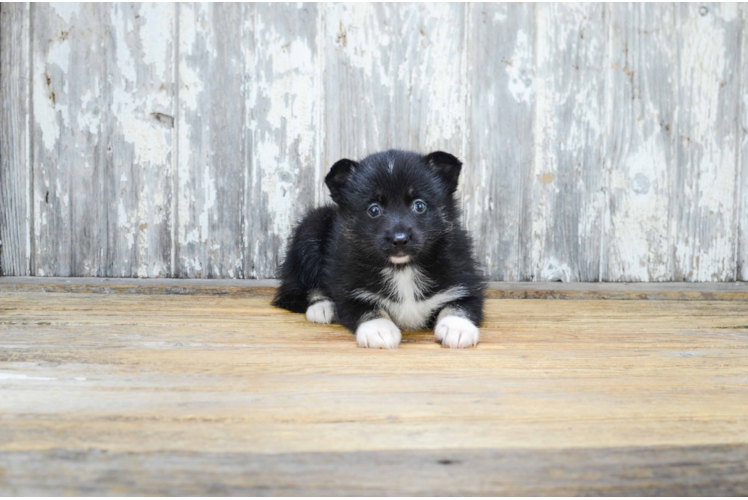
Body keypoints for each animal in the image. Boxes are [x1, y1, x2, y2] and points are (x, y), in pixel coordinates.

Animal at [274, 150, 486, 350]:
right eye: (374, 210)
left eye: (419, 205)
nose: (399, 240)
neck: (403, 269)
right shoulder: (347, 290)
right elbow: (365, 308)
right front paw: (378, 329)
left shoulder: (466, 281)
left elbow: (460, 304)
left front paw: (457, 328)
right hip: (310, 230)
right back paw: (322, 306)